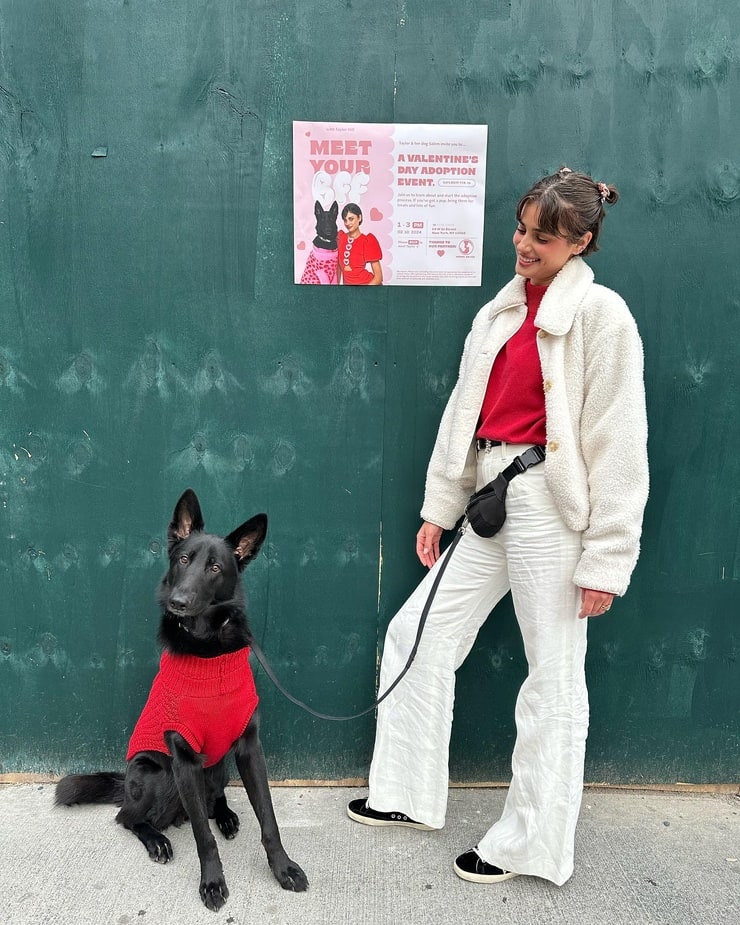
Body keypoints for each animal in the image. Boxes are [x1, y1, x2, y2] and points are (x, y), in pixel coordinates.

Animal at [56, 490, 308, 908]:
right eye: (184, 559)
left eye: (216, 567)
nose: (178, 601)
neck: (209, 647)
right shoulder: (184, 758)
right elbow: (203, 839)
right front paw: (212, 883)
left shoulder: (249, 748)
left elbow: (268, 820)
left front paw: (283, 868)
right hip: (157, 776)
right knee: (127, 816)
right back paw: (156, 839)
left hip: (217, 767)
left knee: (211, 801)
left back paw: (225, 815)